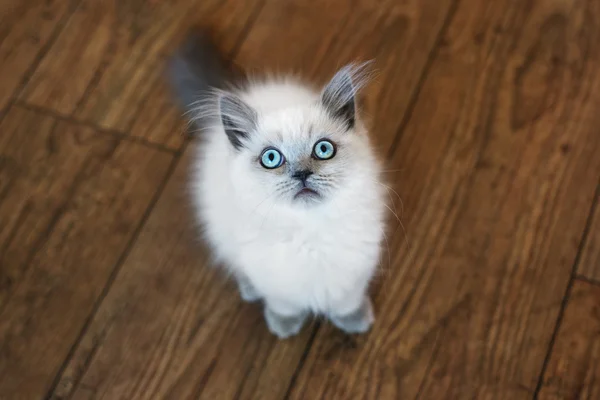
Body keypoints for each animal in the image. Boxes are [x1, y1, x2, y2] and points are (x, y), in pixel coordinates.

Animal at [166, 32, 386, 338]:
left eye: (323, 149)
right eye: (271, 158)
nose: (302, 174)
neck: (309, 233)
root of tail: (248, 92)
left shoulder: (354, 271)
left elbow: (346, 302)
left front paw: (356, 322)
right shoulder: (273, 279)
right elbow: (284, 304)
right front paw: (284, 327)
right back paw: (249, 290)